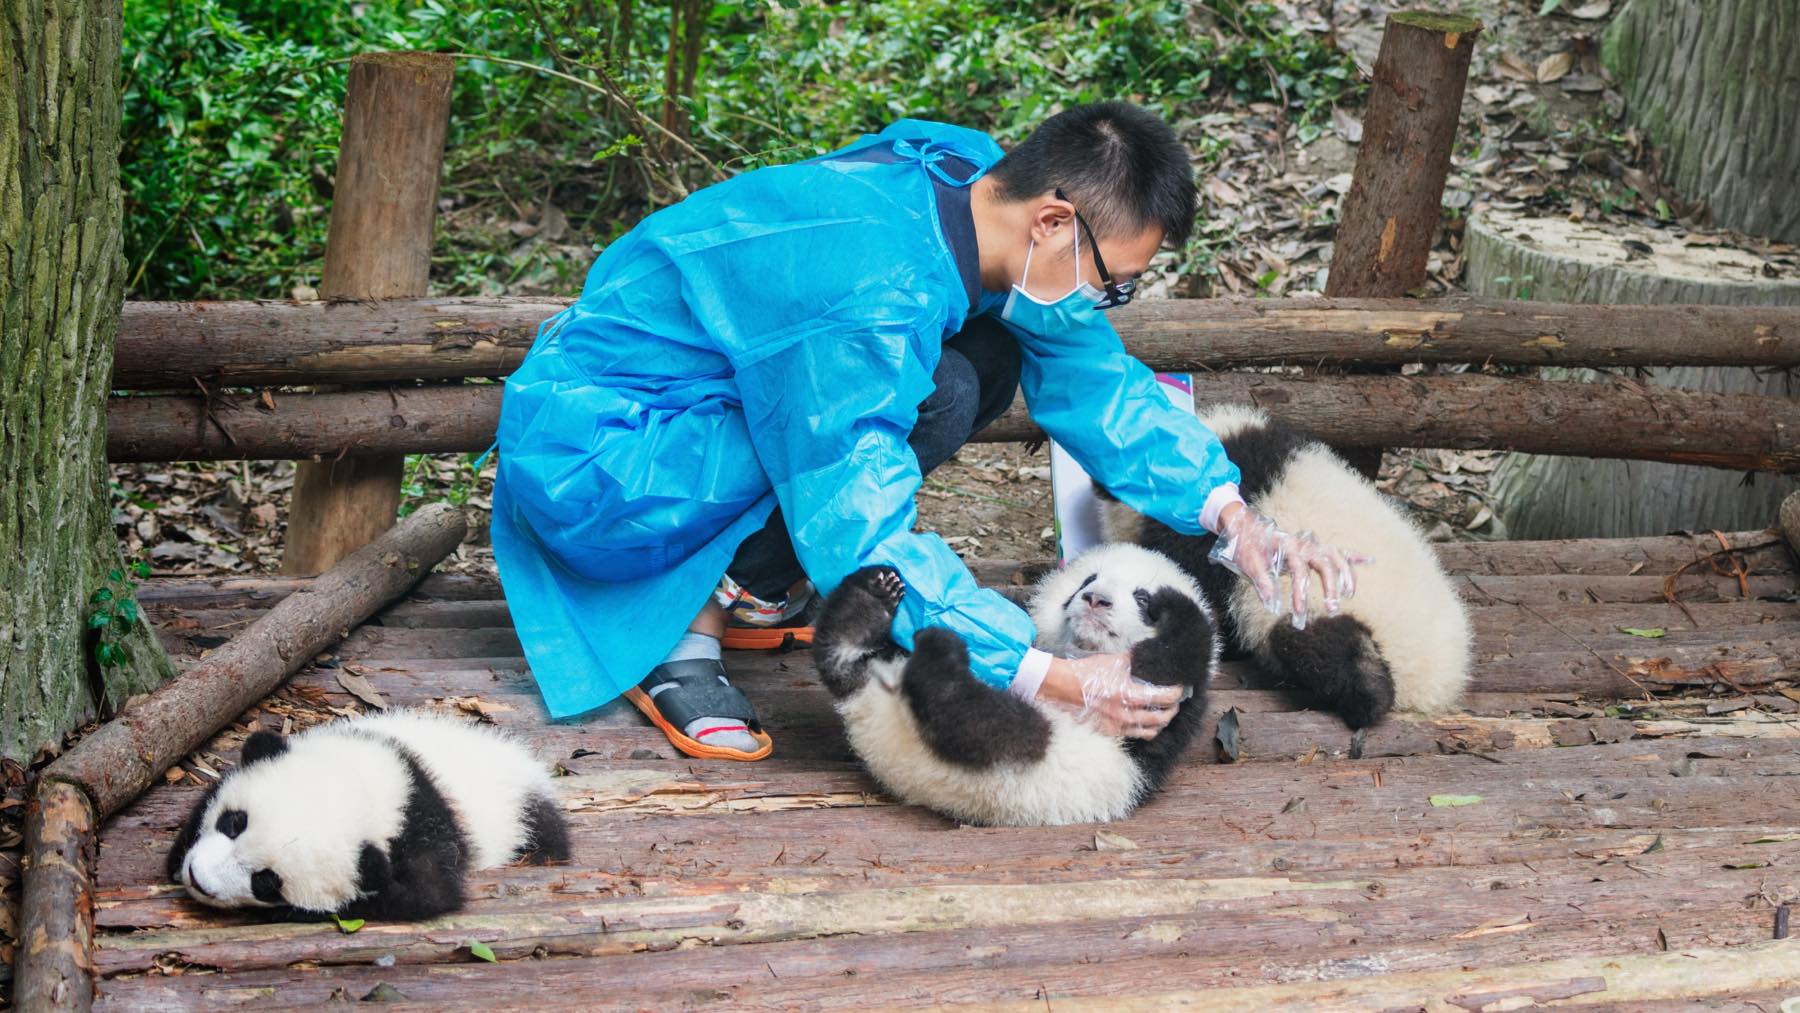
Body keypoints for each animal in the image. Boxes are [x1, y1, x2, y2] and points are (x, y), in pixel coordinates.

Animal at [167, 709, 570, 922]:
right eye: (233, 822)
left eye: (267, 882)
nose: (198, 879)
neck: (364, 789)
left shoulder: (424, 837)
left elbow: (425, 896)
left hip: (522, 815)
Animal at [813, 543, 1219, 827]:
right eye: (1087, 581)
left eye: (1140, 596)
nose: (1095, 599)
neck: (1078, 653)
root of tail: (870, 708)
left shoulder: (1160, 718)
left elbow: (1179, 656)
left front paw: (1174, 605)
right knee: (840, 654)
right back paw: (872, 596)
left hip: (1030, 753)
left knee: (974, 720)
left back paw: (939, 651)